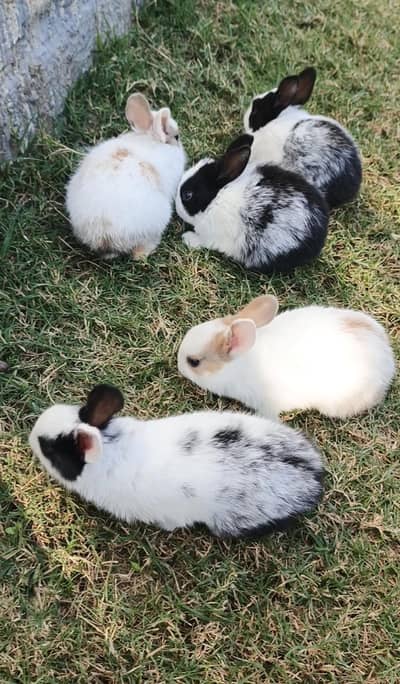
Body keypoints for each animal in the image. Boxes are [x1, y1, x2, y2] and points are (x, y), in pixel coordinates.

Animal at [175, 134, 329, 274]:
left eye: (187, 195)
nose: (175, 205)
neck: (215, 199)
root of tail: (320, 234)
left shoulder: (211, 236)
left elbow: (202, 241)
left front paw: (187, 238)